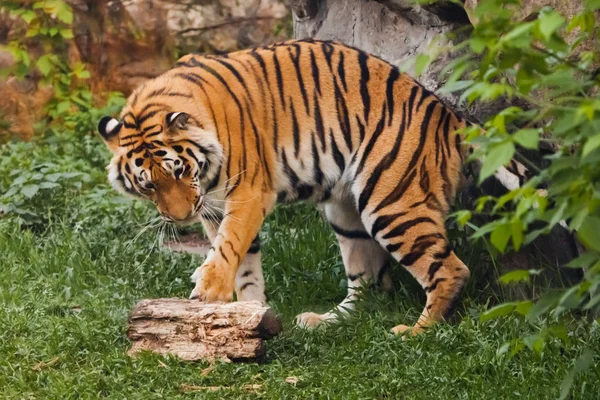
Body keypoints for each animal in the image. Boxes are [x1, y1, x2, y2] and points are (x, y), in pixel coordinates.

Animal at [96, 39, 524, 334]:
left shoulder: (247, 192)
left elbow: (228, 246)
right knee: (370, 284)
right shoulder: (214, 206)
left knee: (451, 270)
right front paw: (251, 315)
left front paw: (210, 291)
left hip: (391, 203)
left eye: (179, 171)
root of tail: (449, 116)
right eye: (149, 187)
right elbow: (243, 265)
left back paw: (415, 332)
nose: (181, 217)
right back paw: (327, 320)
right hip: (345, 214)